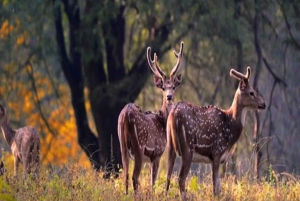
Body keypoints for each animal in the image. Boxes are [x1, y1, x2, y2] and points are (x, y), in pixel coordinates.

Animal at [118, 41, 185, 194]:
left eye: (173, 86)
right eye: (163, 88)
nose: (169, 97)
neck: (162, 121)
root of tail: (125, 115)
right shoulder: (157, 153)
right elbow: (152, 182)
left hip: (122, 145)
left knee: (125, 175)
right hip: (139, 145)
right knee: (134, 177)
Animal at [165, 66, 266, 199]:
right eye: (251, 92)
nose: (263, 104)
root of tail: (173, 113)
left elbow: (218, 186)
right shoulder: (217, 152)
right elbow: (215, 188)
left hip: (170, 145)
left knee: (167, 176)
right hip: (187, 147)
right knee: (181, 178)